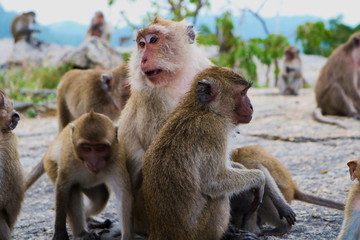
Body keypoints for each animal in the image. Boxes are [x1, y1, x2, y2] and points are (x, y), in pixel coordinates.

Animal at [142, 65, 266, 240]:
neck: (203, 109)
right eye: (242, 93)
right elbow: (213, 181)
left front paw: (241, 168)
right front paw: (259, 178)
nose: (251, 106)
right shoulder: (214, 129)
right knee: (218, 196)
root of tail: (161, 232)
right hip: (199, 231)